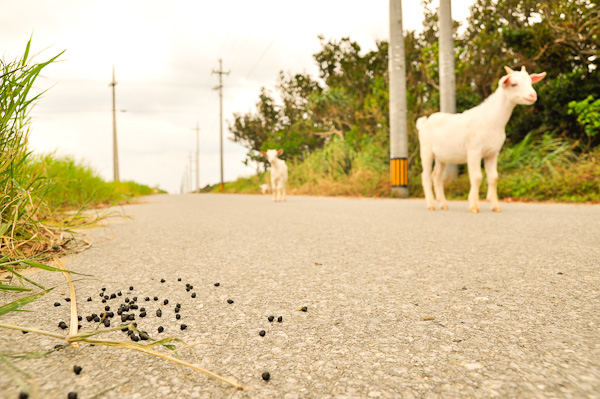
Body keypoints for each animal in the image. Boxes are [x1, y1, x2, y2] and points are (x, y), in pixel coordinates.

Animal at [420, 65, 548, 214]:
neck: (491, 120)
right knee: (426, 176)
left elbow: (493, 177)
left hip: (442, 157)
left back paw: (444, 204)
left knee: (437, 176)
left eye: (530, 82)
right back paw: (431, 204)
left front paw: (496, 206)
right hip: (426, 151)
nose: (533, 95)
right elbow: (477, 177)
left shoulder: (492, 153)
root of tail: (424, 122)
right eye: (514, 84)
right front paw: (474, 205)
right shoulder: (474, 151)